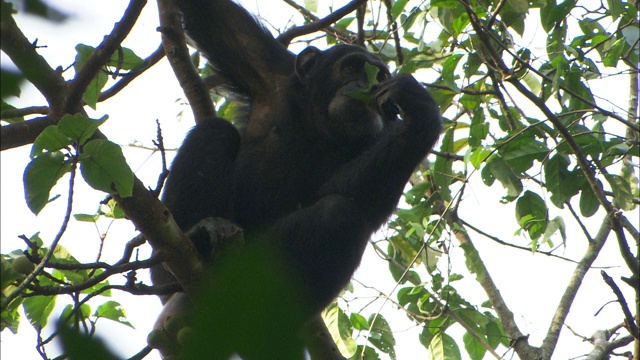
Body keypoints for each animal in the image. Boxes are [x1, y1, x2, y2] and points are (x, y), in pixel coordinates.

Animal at [151, 0, 440, 338]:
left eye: (379, 76)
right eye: (353, 67)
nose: (366, 85)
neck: (319, 122)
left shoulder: (387, 131)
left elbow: (357, 196)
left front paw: (421, 110)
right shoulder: (265, 66)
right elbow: (212, 16)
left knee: (339, 214)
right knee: (216, 132)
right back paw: (195, 242)